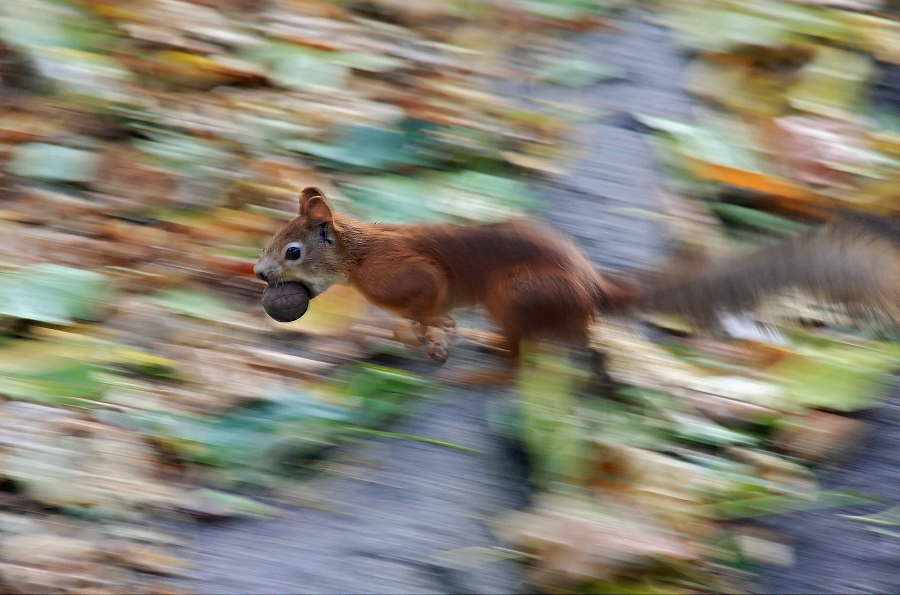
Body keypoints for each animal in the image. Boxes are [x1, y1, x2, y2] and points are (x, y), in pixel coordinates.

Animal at [255, 189, 900, 380]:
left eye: (292, 251)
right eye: (270, 242)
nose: (258, 274)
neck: (359, 254)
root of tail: (593, 290)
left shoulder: (413, 272)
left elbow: (429, 301)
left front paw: (432, 331)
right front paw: (416, 333)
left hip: (513, 293)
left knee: (522, 357)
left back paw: (486, 368)